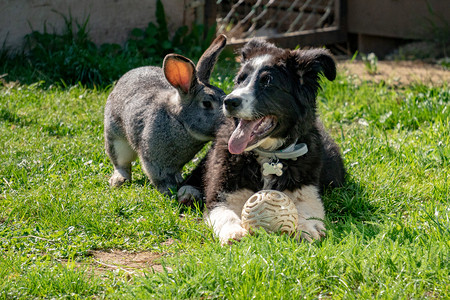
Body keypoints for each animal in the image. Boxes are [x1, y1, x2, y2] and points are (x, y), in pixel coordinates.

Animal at [104, 34, 227, 197]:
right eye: (207, 103)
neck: (178, 121)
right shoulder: (153, 161)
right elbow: (160, 178)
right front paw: (169, 191)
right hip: (116, 138)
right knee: (121, 163)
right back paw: (118, 180)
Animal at [204, 39, 344, 245]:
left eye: (267, 82)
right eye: (239, 80)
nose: (229, 101)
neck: (268, 154)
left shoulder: (306, 188)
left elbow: (307, 208)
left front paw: (306, 228)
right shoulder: (222, 191)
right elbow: (224, 213)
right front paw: (233, 232)